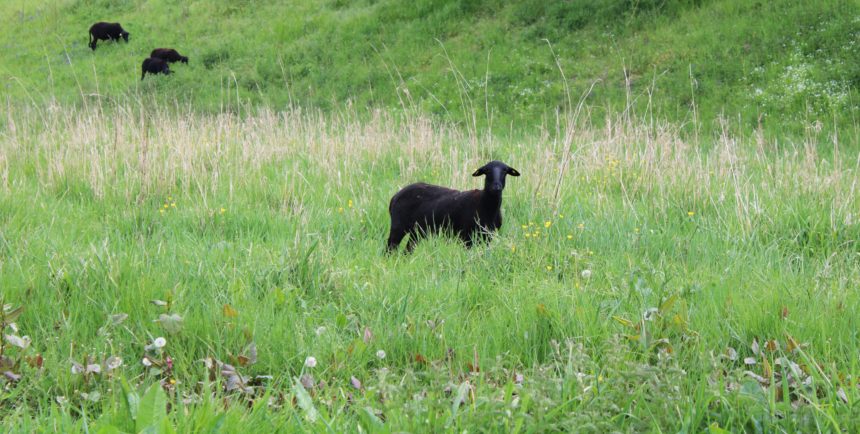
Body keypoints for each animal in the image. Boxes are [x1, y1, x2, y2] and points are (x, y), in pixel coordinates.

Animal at [386, 160, 520, 252]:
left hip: (417, 231)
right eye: (486, 171)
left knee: (408, 249)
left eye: (505, 171)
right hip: (398, 226)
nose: (496, 187)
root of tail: (395, 196)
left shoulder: (487, 236)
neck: (485, 204)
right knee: (390, 248)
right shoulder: (466, 237)